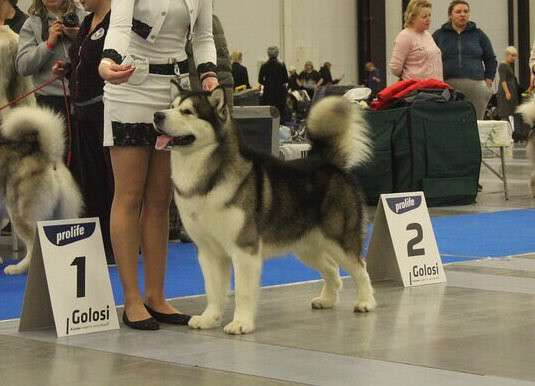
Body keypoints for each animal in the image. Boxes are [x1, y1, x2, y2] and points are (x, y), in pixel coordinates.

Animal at [153, 86, 374, 334]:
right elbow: (213, 291)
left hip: (339, 239)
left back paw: (365, 301)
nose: (157, 116)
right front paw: (209, 318)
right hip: (307, 246)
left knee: (359, 268)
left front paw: (241, 323)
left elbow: (243, 292)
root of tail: (327, 162)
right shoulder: (208, 252)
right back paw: (326, 299)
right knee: (332, 269)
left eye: (187, 111)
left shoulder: (244, 249)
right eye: (171, 106)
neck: (207, 178)